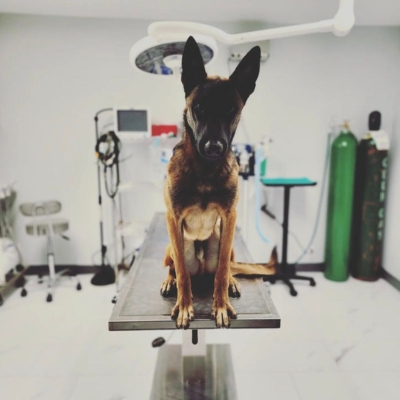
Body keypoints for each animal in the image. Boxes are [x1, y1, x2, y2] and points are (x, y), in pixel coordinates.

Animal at [161, 36, 276, 328]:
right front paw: (184, 306)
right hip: (171, 245)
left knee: (224, 268)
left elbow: (222, 269)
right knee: (173, 266)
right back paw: (169, 281)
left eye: (230, 109)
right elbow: (182, 271)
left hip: (229, 241)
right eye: (199, 107)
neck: (205, 170)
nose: (214, 147)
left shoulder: (229, 217)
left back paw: (232, 281)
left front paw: (221, 305)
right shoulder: (172, 218)